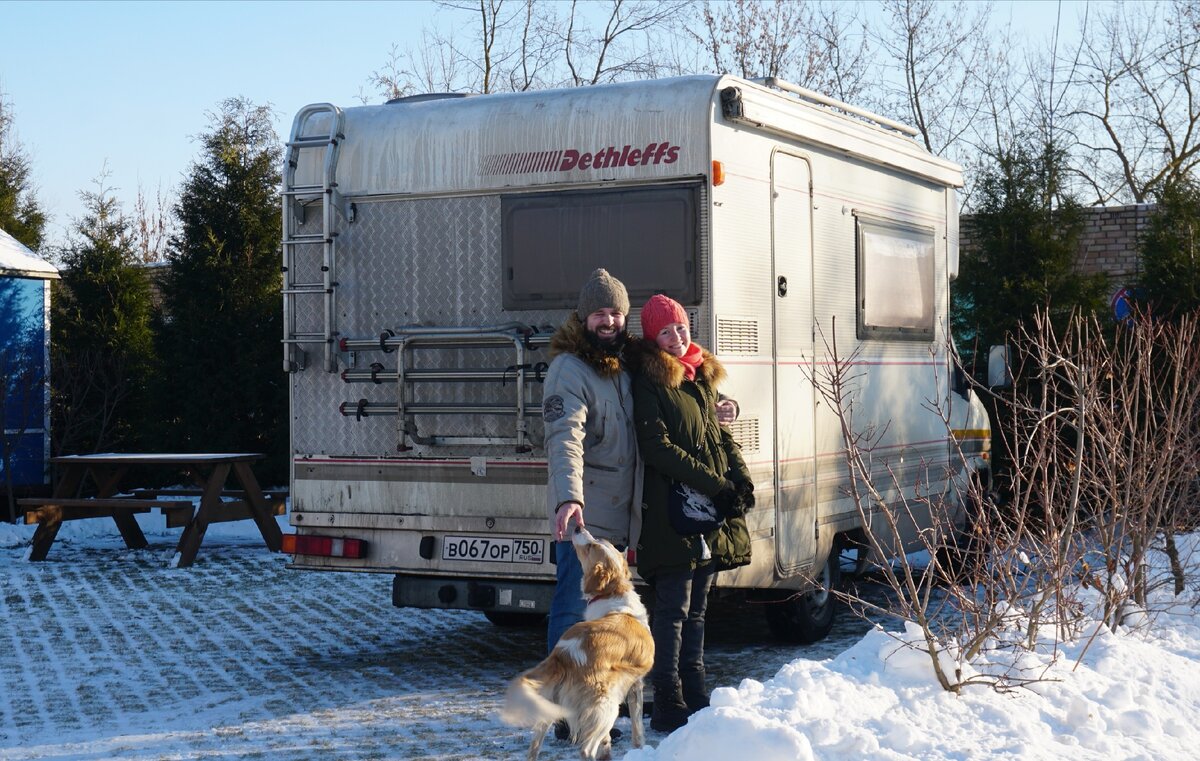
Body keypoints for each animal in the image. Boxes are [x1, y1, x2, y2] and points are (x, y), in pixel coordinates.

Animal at [504, 528, 662, 758]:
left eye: (594, 543)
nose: (578, 528)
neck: (613, 593)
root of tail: (563, 654)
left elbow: (607, 742)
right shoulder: (635, 686)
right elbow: (638, 731)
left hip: (550, 708)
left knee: (533, 749)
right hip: (608, 705)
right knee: (586, 749)